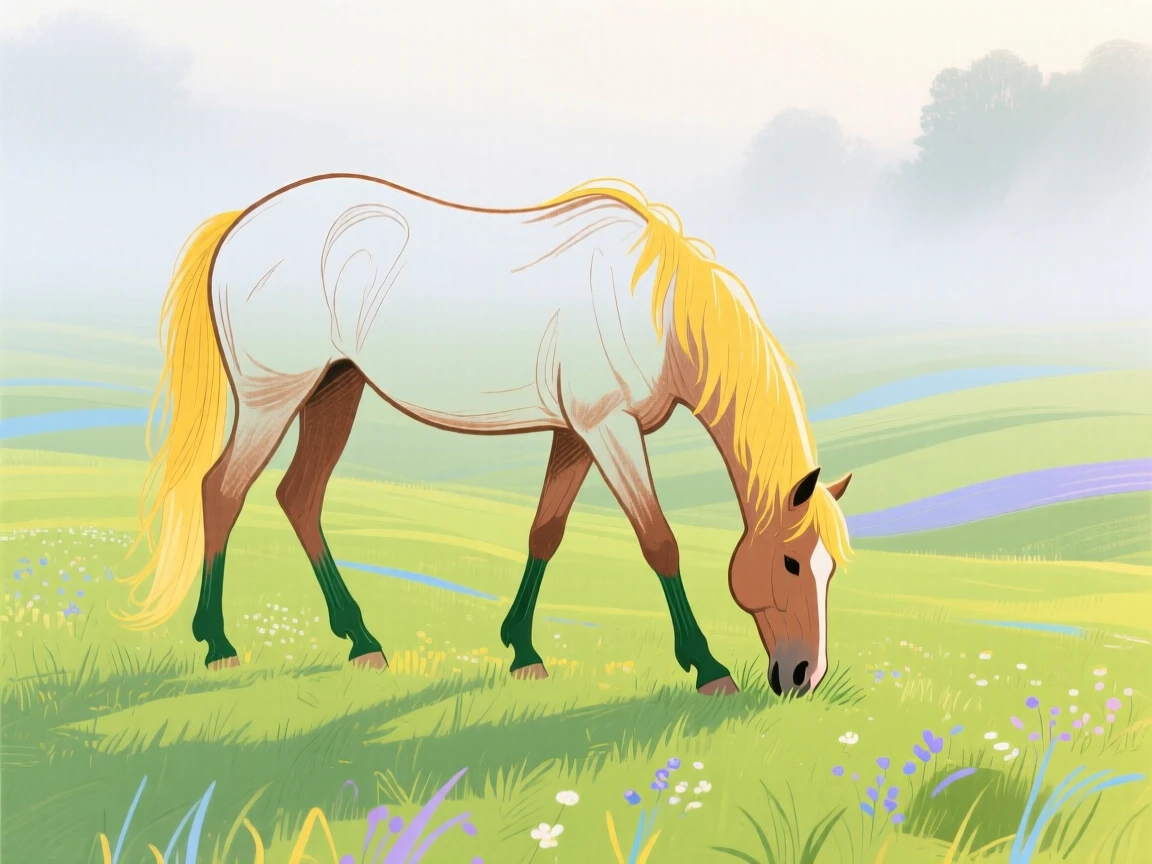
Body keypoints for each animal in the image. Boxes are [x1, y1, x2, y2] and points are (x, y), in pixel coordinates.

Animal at [124, 175, 853, 697]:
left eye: (830, 569)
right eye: (792, 562)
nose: (802, 678)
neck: (653, 306)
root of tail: (241, 223)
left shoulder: (576, 434)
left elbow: (545, 532)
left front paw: (523, 652)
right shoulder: (609, 429)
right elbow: (659, 543)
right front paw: (707, 666)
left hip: (335, 388)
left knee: (299, 496)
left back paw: (362, 641)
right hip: (271, 397)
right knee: (222, 491)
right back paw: (219, 645)